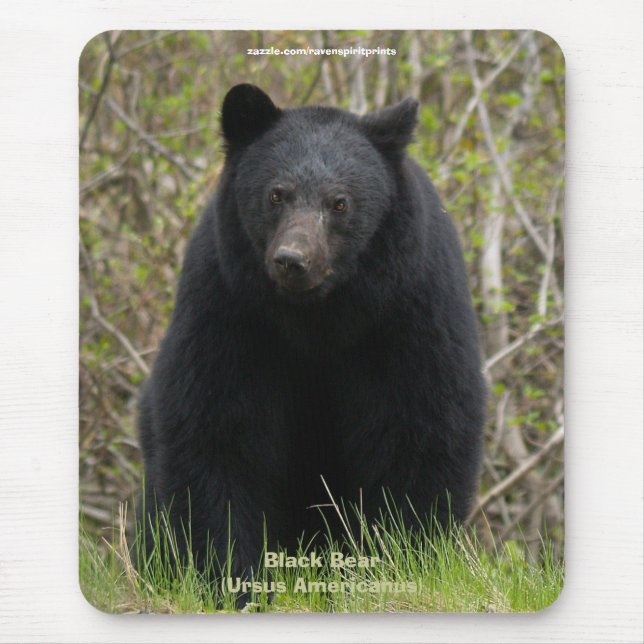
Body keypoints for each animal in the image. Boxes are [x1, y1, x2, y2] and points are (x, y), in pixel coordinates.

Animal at [137, 83, 487, 582]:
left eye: (340, 202)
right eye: (276, 194)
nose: (292, 260)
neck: (317, 318)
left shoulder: (412, 309)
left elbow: (422, 425)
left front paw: (398, 560)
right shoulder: (226, 307)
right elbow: (215, 428)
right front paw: (228, 576)